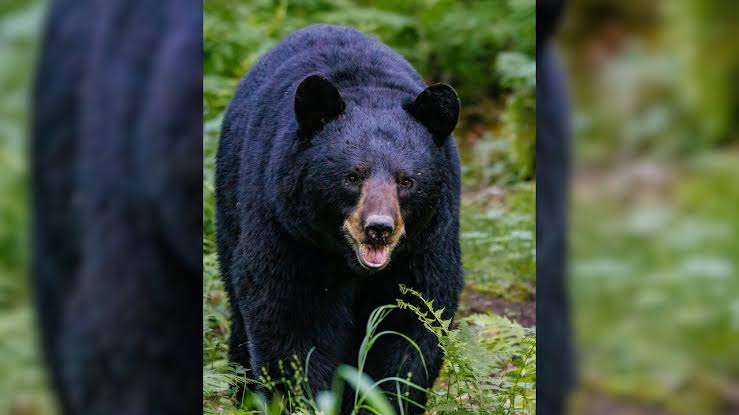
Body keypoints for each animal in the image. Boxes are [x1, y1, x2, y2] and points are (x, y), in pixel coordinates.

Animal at [215, 24, 463, 413]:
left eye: (406, 180)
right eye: (352, 176)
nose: (379, 228)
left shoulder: (427, 242)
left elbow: (412, 323)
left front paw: (384, 400)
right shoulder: (288, 230)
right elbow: (291, 318)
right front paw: (305, 400)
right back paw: (244, 392)